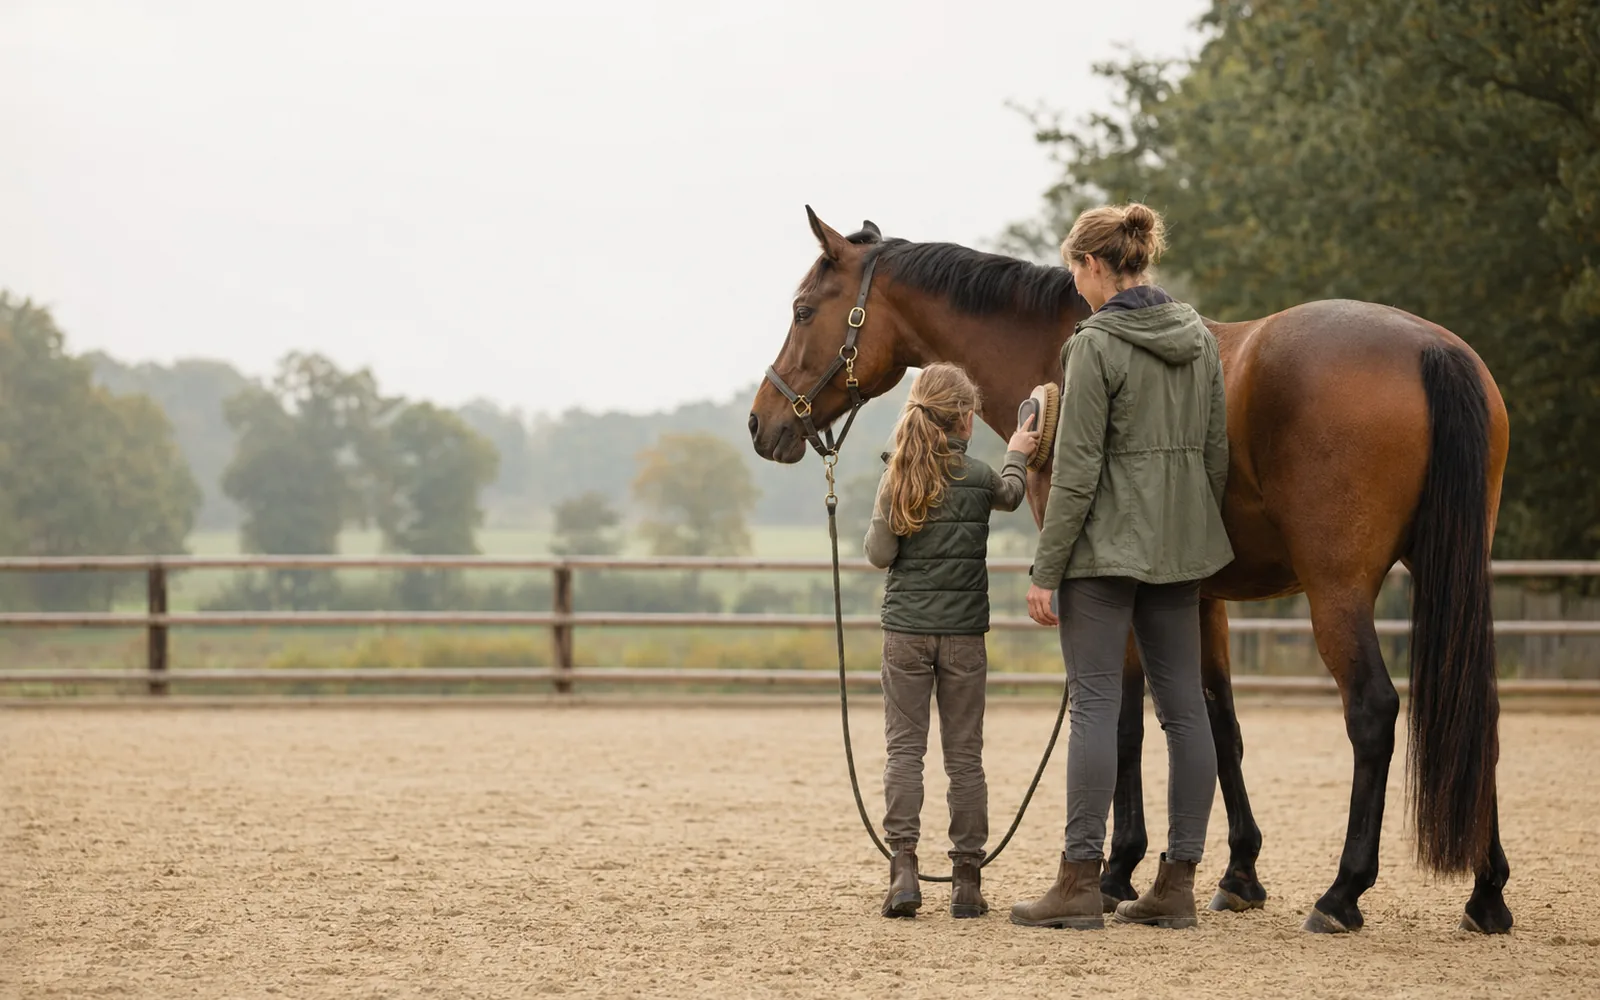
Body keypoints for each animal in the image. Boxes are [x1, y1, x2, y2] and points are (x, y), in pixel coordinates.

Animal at [748, 207, 1512, 935]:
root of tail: (1433, 350)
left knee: (1374, 712)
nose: (761, 423)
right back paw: (1487, 894)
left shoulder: (1102, 592)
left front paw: (1116, 872)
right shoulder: (1198, 599)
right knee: (1477, 710)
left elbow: (1122, 725)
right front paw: (1238, 875)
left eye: (803, 311)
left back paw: (1342, 894)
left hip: (1338, 594)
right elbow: (1216, 726)